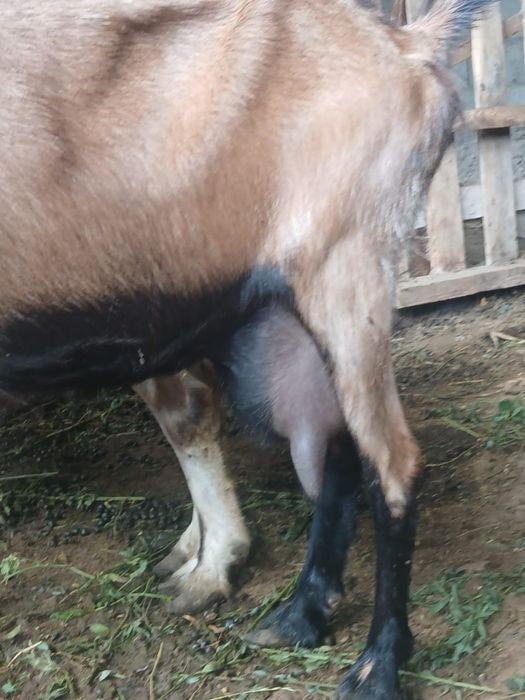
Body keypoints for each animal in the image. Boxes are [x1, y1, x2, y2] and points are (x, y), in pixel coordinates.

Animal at [0, 0, 494, 696]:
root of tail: (406, 43)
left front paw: (208, 568)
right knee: (338, 447)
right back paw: (301, 614)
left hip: (346, 268)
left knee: (392, 462)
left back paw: (377, 663)